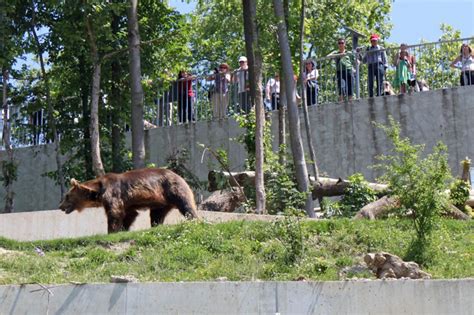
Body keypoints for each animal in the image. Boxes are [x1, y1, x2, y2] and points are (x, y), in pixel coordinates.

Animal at [58, 169, 198, 233]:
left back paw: (194, 218)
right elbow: (129, 215)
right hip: (160, 202)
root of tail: (178, 175)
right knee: (156, 215)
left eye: (67, 196)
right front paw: (123, 229)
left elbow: (114, 213)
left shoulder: (113, 194)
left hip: (172, 188)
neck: (99, 192)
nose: (60, 206)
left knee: (185, 205)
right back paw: (155, 225)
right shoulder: (127, 203)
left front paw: (111, 230)